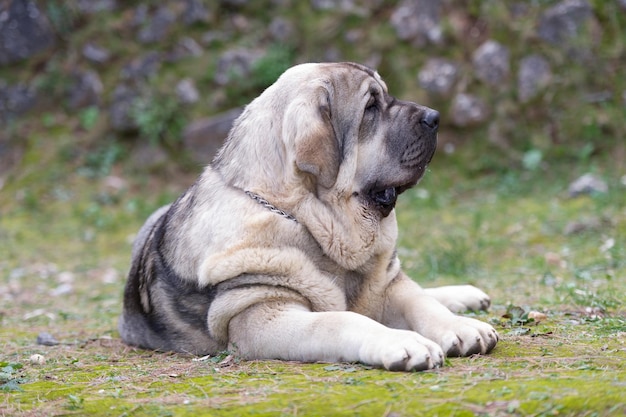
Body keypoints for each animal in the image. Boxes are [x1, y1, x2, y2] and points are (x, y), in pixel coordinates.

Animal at [119, 62, 494, 370]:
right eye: (371, 107)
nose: (435, 117)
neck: (311, 221)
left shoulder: (387, 284)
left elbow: (421, 302)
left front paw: (460, 327)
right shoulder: (262, 313)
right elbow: (340, 320)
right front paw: (403, 342)